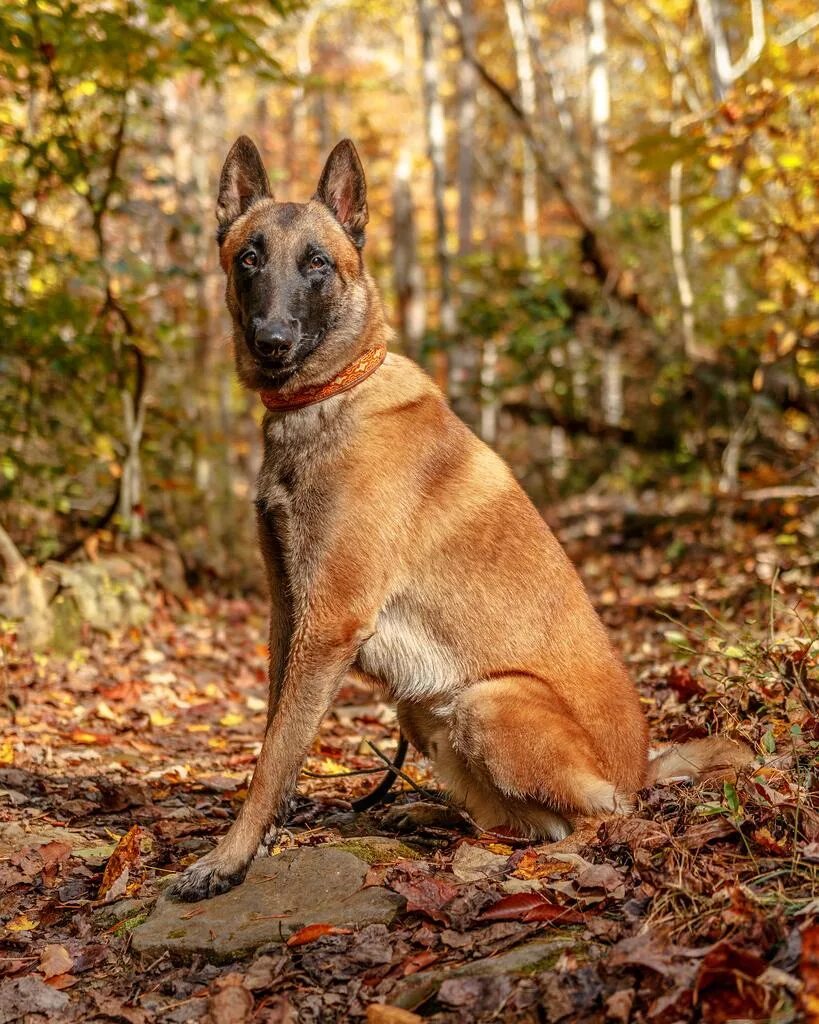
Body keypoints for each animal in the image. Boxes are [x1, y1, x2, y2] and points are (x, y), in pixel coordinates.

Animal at [169, 140, 753, 901]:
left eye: (317, 263)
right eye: (249, 259)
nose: (271, 339)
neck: (327, 398)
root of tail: (641, 765)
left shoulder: (328, 622)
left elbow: (272, 757)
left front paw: (226, 859)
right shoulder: (288, 613)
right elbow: (278, 737)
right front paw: (261, 837)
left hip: (490, 700)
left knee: (596, 819)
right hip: (422, 707)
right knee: (522, 818)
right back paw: (437, 816)